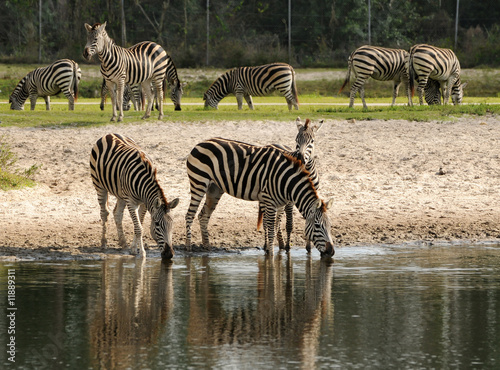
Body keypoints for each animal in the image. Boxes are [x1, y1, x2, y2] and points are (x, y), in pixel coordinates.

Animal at [186, 137, 334, 258]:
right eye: (317, 226)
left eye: (329, 226)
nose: (331, 252)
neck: (286, 182)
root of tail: (201, 142)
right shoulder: (269, 200)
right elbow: (271, 227)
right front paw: (271, 255)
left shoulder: (279, 203)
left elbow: (274, 226)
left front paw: (270, 250)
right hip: (199, 182)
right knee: (190, 214)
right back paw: (188, 247)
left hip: (214, 189)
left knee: (203, 216)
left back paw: (207, 247)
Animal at [258, 117, 324, 253]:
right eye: (296, 140)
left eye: (312, 141)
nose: (300, 158)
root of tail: (272, 144)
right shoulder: (290, 201)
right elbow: (289, 224)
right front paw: (288, 248)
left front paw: (308, 248)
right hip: (265, 198)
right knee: (266, 221)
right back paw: (267, 245)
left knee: (276, 221)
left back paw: (280, 243)